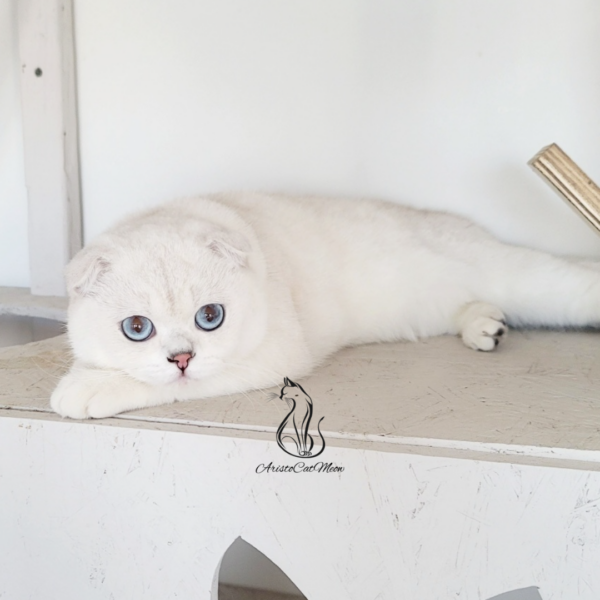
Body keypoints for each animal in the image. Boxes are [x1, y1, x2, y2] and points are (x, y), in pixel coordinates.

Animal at [51, 192, 600, 418]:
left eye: (210, 317)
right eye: (136, 327)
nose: (182, 358)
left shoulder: (275, 355)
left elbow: (167, 387)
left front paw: (86, 387)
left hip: (533, 281)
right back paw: (487, 327)